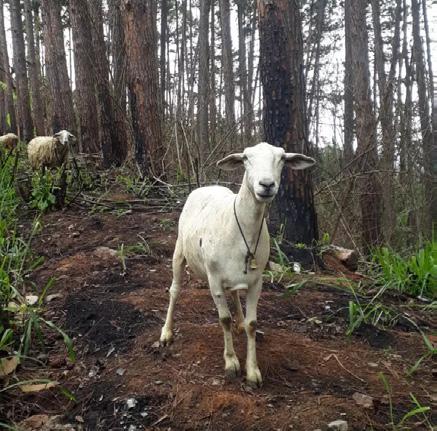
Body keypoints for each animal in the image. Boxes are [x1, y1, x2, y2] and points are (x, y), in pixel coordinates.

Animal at [160, 142, 315, 387]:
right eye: (245, 158)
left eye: (282, 158)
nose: (267, 185)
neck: (241, 230)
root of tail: (206, 186)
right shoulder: (213, 277)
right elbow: (224, 319)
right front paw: (231, 363)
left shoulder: (257, 280)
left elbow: (253, 324)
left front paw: (252, 371)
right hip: (179, 251)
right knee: (174, 290)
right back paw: (166, 333)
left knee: (233, 293)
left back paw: (240, 323)